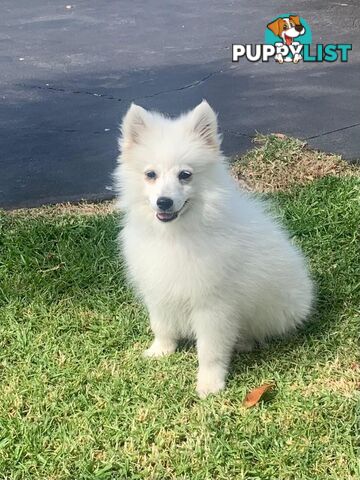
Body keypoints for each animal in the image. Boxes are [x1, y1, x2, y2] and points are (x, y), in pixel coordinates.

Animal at [114, 100, 314, 398]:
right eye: (151, 175)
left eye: (185, 175)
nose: (164, 202)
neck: (177, 234)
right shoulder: (158, 288)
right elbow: (161, 324)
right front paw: (161, 351)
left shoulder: (213, 306)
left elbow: (210, 349)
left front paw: (210, 384)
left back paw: (244, 342)